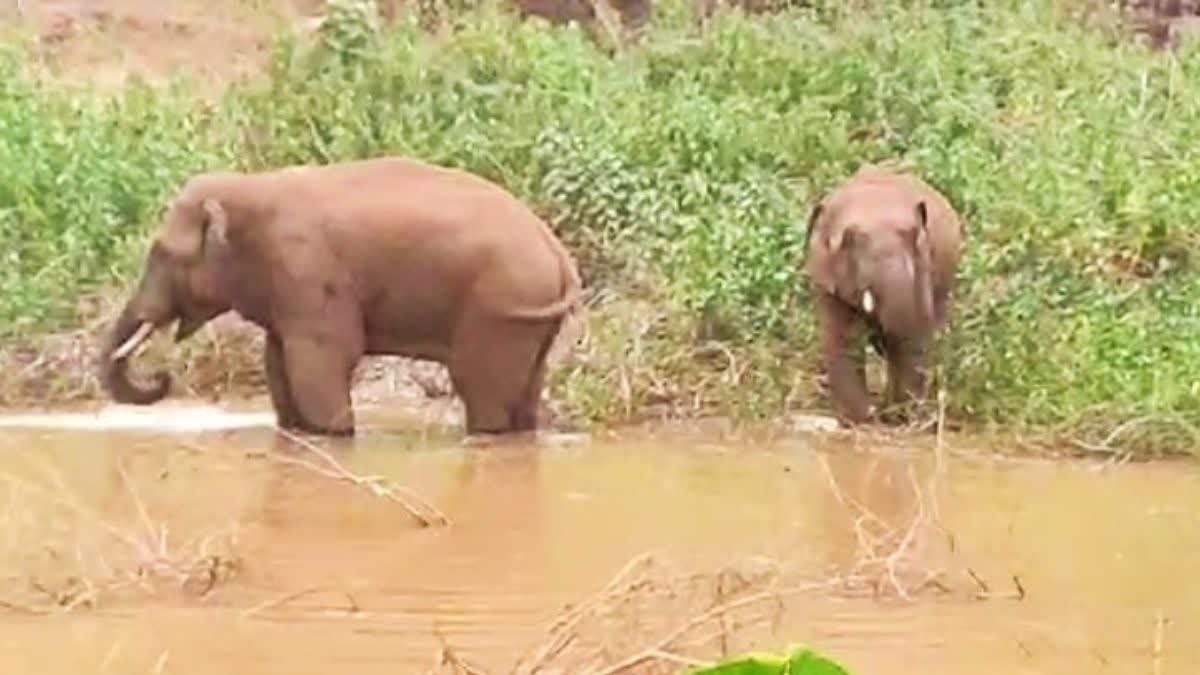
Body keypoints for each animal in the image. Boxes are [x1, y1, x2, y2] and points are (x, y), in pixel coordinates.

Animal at [100, 156, 583, 438]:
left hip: (499, 307)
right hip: (525, 316)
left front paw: (335, 435)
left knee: (479, 387)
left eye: (163, 254)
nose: (162, 377)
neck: (249, 187)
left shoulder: (307, 267)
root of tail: (559, 254)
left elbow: (321, 359)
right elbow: (278, 362)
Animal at [803, 165, 964, 425]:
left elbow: (913, 337)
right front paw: (859, 420)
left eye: (914, 236)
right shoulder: (825, 275)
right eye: (850, 240)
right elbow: (844, 338)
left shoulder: (923, 268)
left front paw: (897, 417)